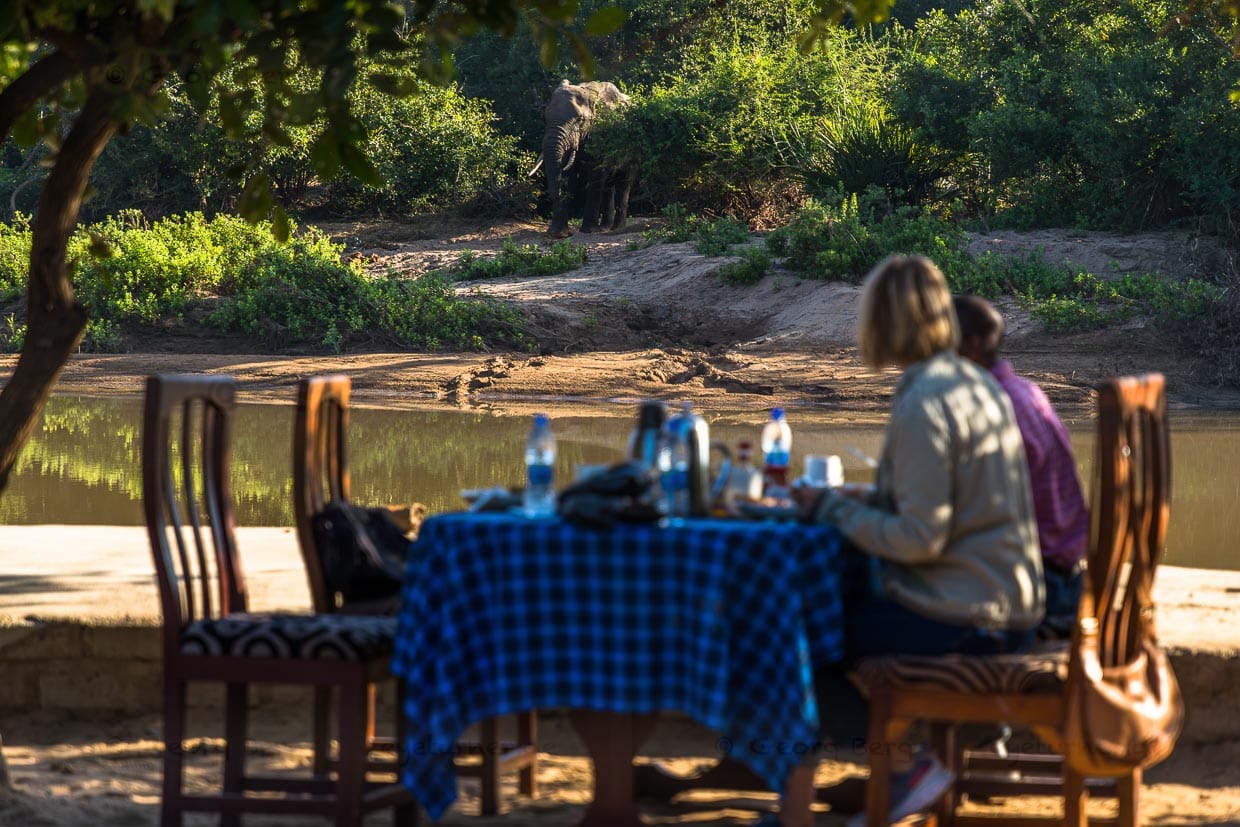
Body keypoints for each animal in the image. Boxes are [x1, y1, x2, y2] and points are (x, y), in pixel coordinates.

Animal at [530, 80, 637, 238]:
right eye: (546, 117)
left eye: (580, 120)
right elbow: (568, 174)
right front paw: (558, 234)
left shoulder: (602, 133)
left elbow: (597, 172)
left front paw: (589, 231)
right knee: (609, 185)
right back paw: (605, 228)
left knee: (624, 181)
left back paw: (617, 228)